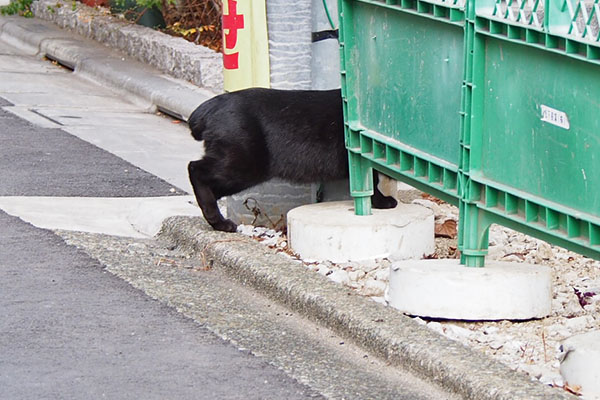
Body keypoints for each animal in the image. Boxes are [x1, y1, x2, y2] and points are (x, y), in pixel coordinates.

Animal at [185, 87, 396, 231]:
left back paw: (216, 221)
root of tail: (208, 107)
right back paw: (218, 220)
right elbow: (371, 181)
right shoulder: (362, 155)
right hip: (243, 165)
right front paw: (383, 202)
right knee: (195, 169)